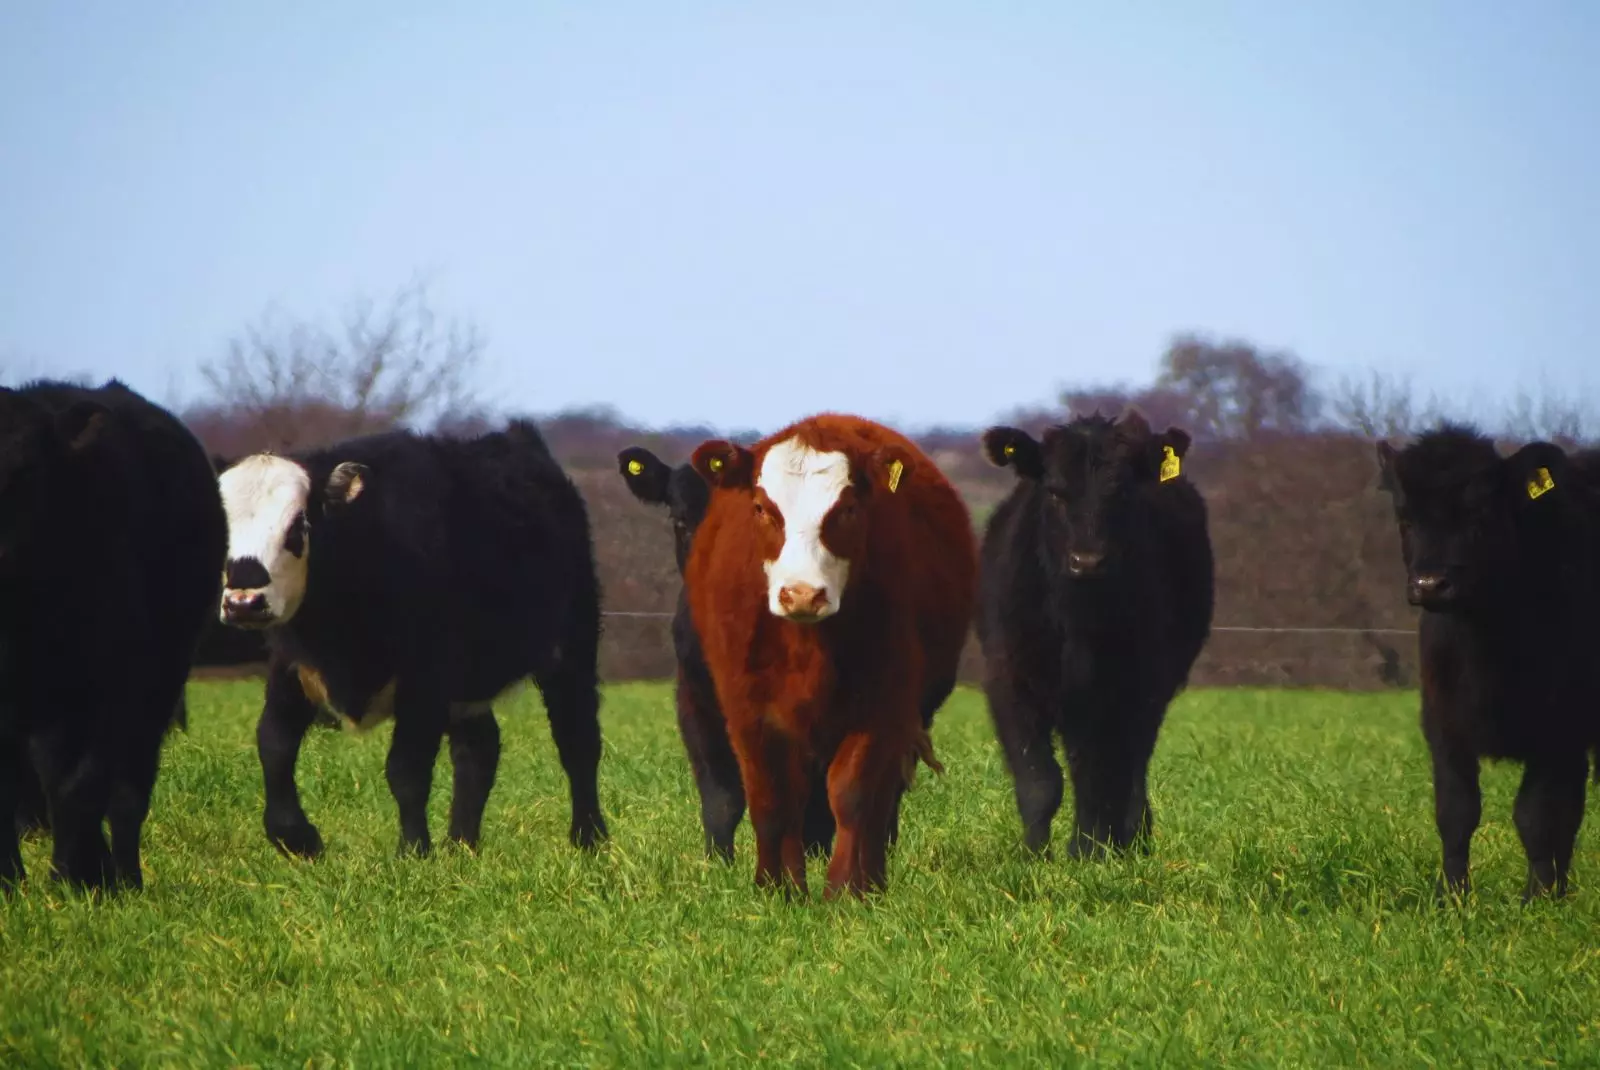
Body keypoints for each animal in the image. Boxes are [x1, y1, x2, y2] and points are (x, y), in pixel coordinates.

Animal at [0, 379, 227, 889]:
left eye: (27, 469)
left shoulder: (109, 689)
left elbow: (79, 784)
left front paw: (75, 880)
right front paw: (8, 881)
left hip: (156, 692)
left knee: (126, 796)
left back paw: (123, 877)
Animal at [219, 415, 604, 857]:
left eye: (298, 526)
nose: (244, 601)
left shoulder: (425, 683)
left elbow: (406, 769)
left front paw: (413, 851)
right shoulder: (292, 668)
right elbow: (274, 745)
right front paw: (297, 838)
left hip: (570, 649)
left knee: (577, 740)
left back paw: (589, 837)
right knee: (479, 748)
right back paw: (461, 844)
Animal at [684, 412, 972, 895]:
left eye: (847, 509)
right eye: (762, 508)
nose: (802, 594)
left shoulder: (884, 704)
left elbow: (855, 795)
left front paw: (847, 889)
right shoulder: (747, 707)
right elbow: (771, 798)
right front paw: (776, 888)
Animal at [972, 409, 1209, 857]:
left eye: (1121, 494)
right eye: (1054, 491)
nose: (1087, 560)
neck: (1075, 618)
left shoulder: (1134, 685)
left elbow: (1105, 775)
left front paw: (1091, 851)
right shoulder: (1008, 678)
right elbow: (1039, 780)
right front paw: (1034, 855)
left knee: (1126, 770)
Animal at [1376, 422, 1600, 895]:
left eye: (1478, 515)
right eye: (1407, 519)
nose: (1430, 584)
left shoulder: (1559, 731)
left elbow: (1537, 817)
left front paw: (1538, 899)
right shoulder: (1443, 724)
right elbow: (1456, 814)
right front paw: (1452, 897)